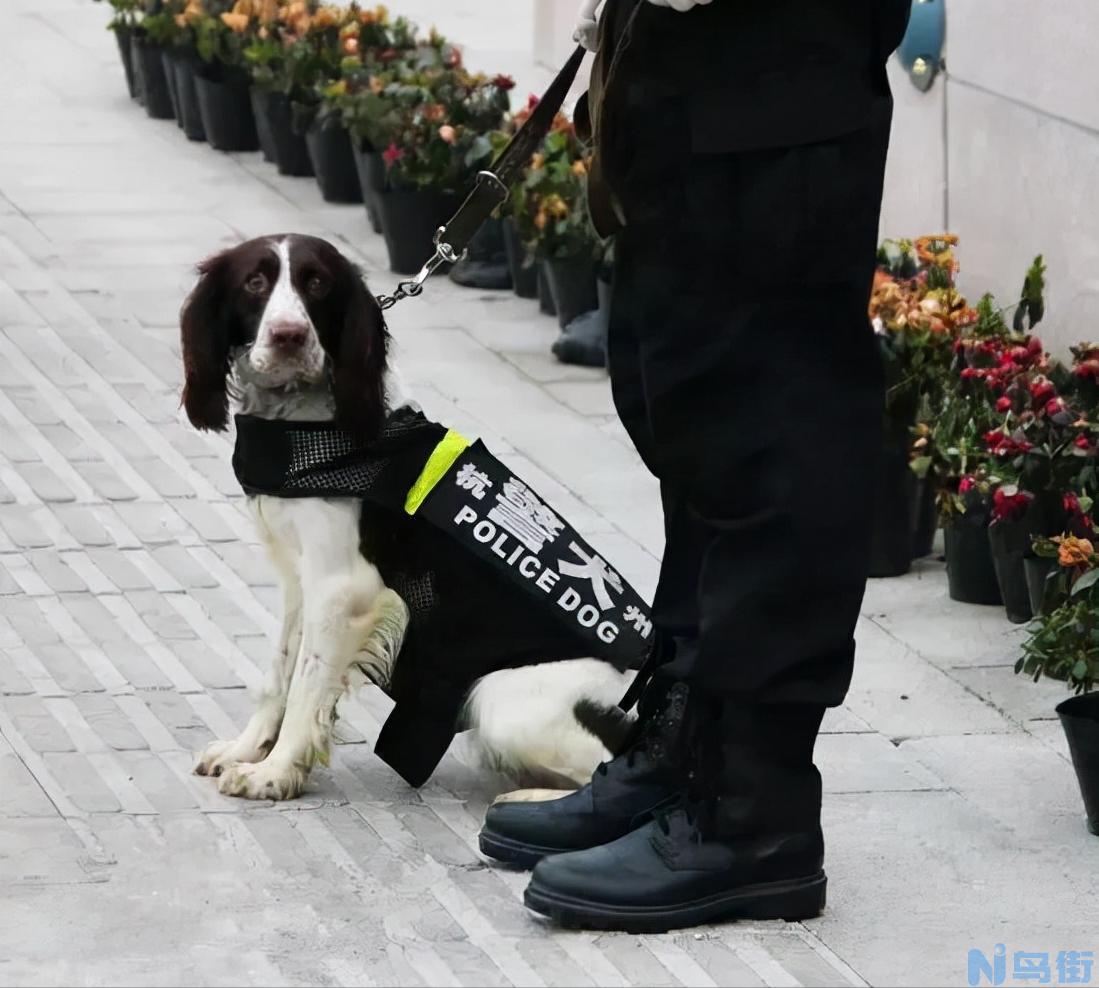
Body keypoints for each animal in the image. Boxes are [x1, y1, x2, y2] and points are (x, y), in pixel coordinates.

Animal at [180, 235, 637, 800]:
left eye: (317, 283)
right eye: (255, 282)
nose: (289, 336)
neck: (307, 426)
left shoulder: (342, 589)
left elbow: (308, 685)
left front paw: (274, 773)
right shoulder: (301, 579)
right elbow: (280, 671)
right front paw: (246, 751)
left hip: (500, 698)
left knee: (609, 772)